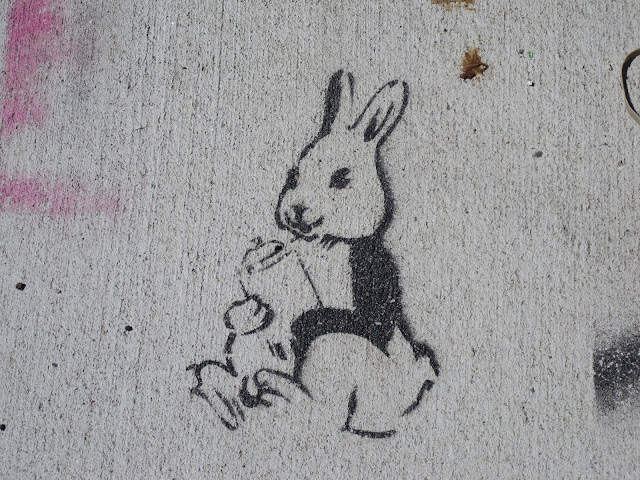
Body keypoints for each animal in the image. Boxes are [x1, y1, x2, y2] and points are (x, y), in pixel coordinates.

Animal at [269, 70, 440, 436]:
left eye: (341, 178)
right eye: (293, 175)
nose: (296, 211)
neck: (328, 242)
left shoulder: (374, 276)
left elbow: (372, 320)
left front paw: (301, 323)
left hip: (340, 349)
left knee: (325, 415)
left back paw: (276, 388)